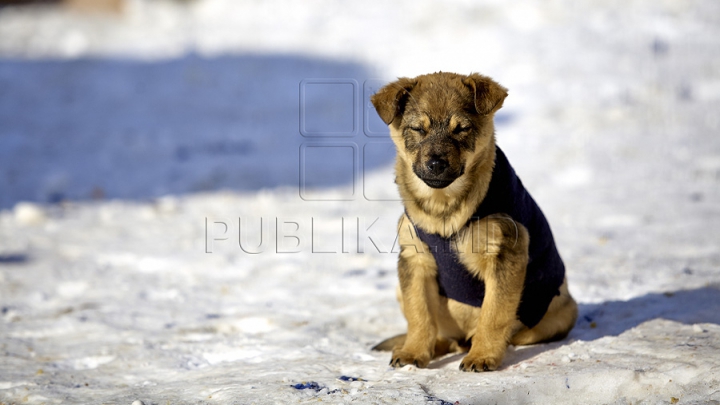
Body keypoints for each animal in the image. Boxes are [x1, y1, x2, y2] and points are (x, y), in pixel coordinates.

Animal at [372, 72, 580, 370]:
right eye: (418, 129)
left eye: (461, 129)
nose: (436, 164)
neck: (444, 209)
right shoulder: (414, 259)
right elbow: (419, 315)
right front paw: (413, 352)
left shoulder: (505, 253)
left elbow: (494, 315)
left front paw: (482, 356)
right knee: (443, 335)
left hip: (558, 314)